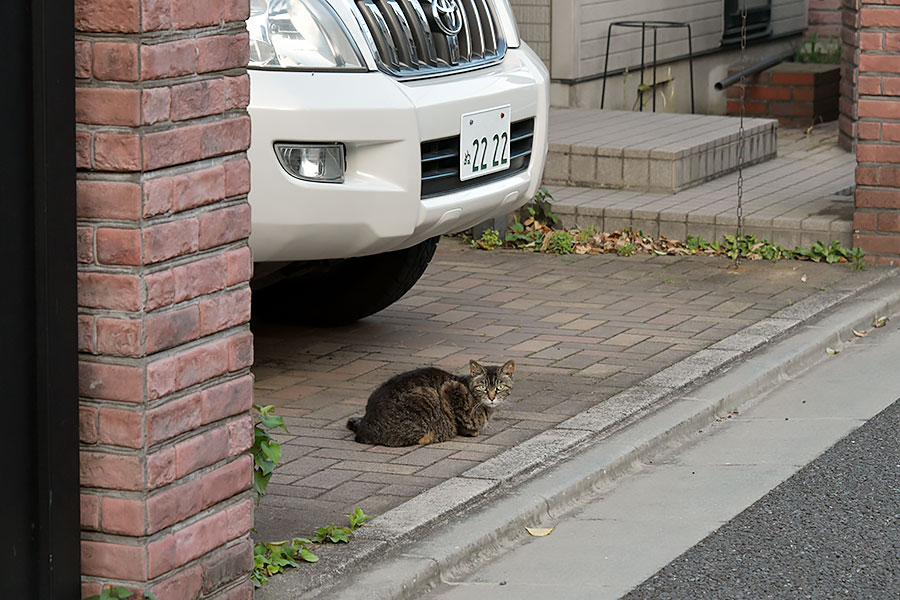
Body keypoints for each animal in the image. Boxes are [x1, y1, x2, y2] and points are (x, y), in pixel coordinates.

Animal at [344, 360, 512, 446]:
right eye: (483, 387)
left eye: (500, 387)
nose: (491, 397)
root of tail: (363, 431)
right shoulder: (451, 390)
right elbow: (461, 420)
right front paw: (470, 431)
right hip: (426, 395)